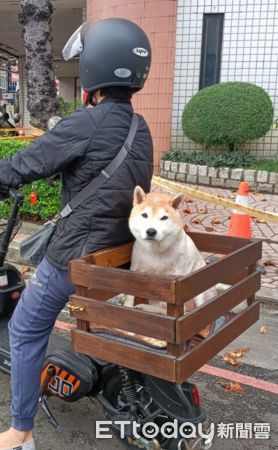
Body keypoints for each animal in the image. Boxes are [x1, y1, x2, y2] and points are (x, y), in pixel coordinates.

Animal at [124, 185, 217, 314]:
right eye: (144, 215)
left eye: (164, 218)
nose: (151, 231)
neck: (156, 251)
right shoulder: (136, 270)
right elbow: (129, 294)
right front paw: (127, 308)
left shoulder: (179, 275)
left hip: (199, 289)